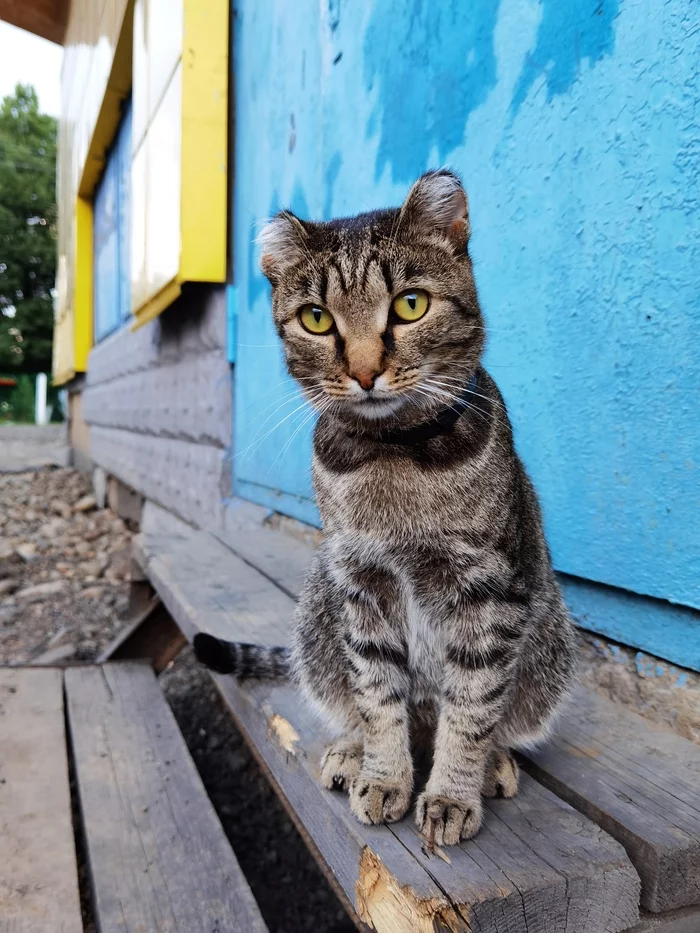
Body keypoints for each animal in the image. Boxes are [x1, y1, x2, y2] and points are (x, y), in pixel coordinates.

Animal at [194, 169, 576, 844]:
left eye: (410, 305)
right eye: (317, 319)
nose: (366, 371)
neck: (391, 453)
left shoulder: (488, 592)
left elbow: (472, 706)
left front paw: (451, 794)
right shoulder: (360, 584)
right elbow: (377, 696)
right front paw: (384, 776)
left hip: (549, 634)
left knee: (491, 718)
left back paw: (493, 764)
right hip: (318, 606)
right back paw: (351, 752)